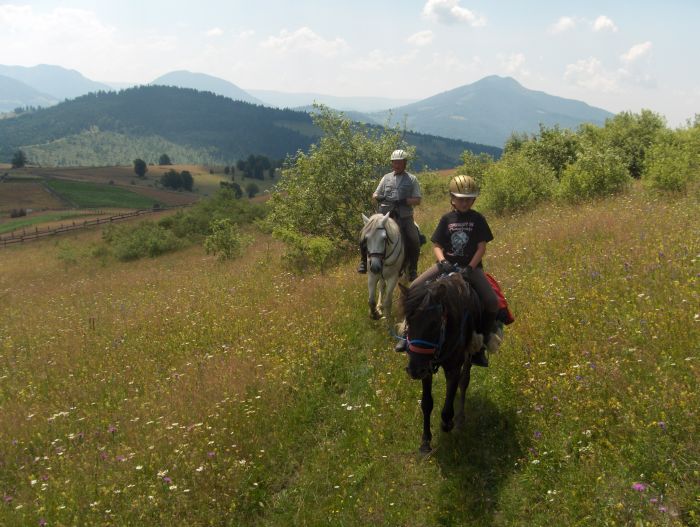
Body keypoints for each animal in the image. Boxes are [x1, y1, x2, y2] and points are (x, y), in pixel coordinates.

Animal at [400, 272, 482, 454]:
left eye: (434, 324)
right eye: (408, 321)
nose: (414, 370)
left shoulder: (453, 368)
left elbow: (448, 402)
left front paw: (448, 423)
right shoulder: (426, 369)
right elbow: (426, 403)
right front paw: (425, 442)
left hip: (469, 355)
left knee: (464, 382)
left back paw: (460, 419)